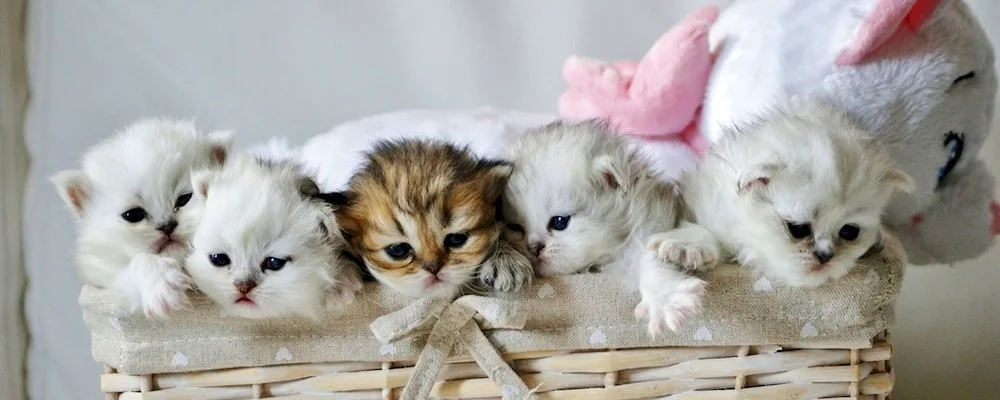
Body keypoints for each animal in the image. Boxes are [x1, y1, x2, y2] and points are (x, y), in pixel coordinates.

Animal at [52, 119, 230, 318]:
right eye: (133, 215)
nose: (167, 226)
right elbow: (139, 261)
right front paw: (164, 286)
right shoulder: (105, 277)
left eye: (185, 199)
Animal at [504, 120, 708, 336]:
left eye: (560, 222)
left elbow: (648, 258)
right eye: (516, 227)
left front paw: (664, 297)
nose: (533, 248)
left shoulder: (648, 225)